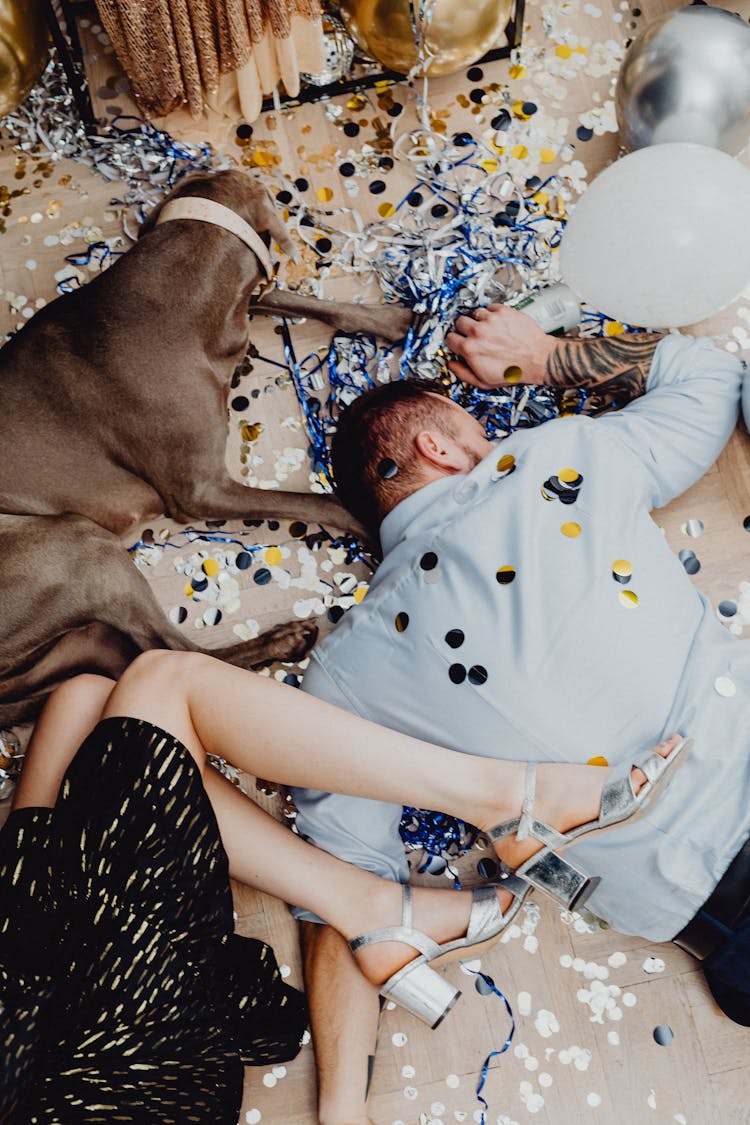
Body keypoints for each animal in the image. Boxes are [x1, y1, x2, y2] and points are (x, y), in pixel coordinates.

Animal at [0, 169, 411, 724]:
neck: (164, 297)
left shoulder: (240, 308)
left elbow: (286, 295)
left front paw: (391, 319)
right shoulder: (200, 490)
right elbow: (323, 502)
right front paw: (375, 526)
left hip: (71, 639)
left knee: (125, 655)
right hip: (75, 544)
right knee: (172, 652)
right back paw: (283, 640)